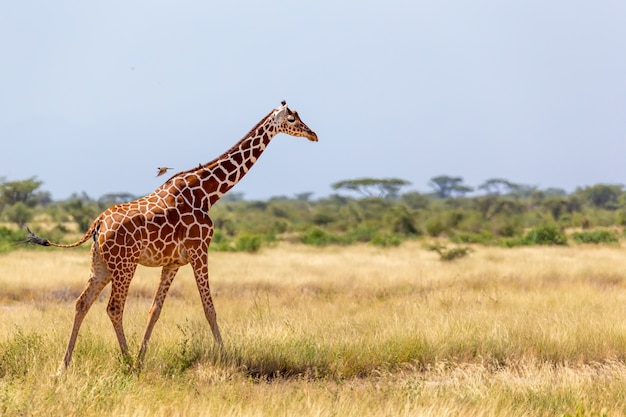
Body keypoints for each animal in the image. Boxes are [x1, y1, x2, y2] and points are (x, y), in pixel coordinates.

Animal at [26, 102, 316, 368]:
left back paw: (64, 365)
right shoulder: (200, 251)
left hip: (101, 266)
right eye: (292, 118)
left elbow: (155, 310)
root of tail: (97, 224)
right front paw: (226, 357)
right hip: (124, 265)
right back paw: (126, 363)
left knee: (81, 303)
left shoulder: (173, 262)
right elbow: (209, 308)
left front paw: (143, 357)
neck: (207, 193)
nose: (313, 134)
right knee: (114, 308)